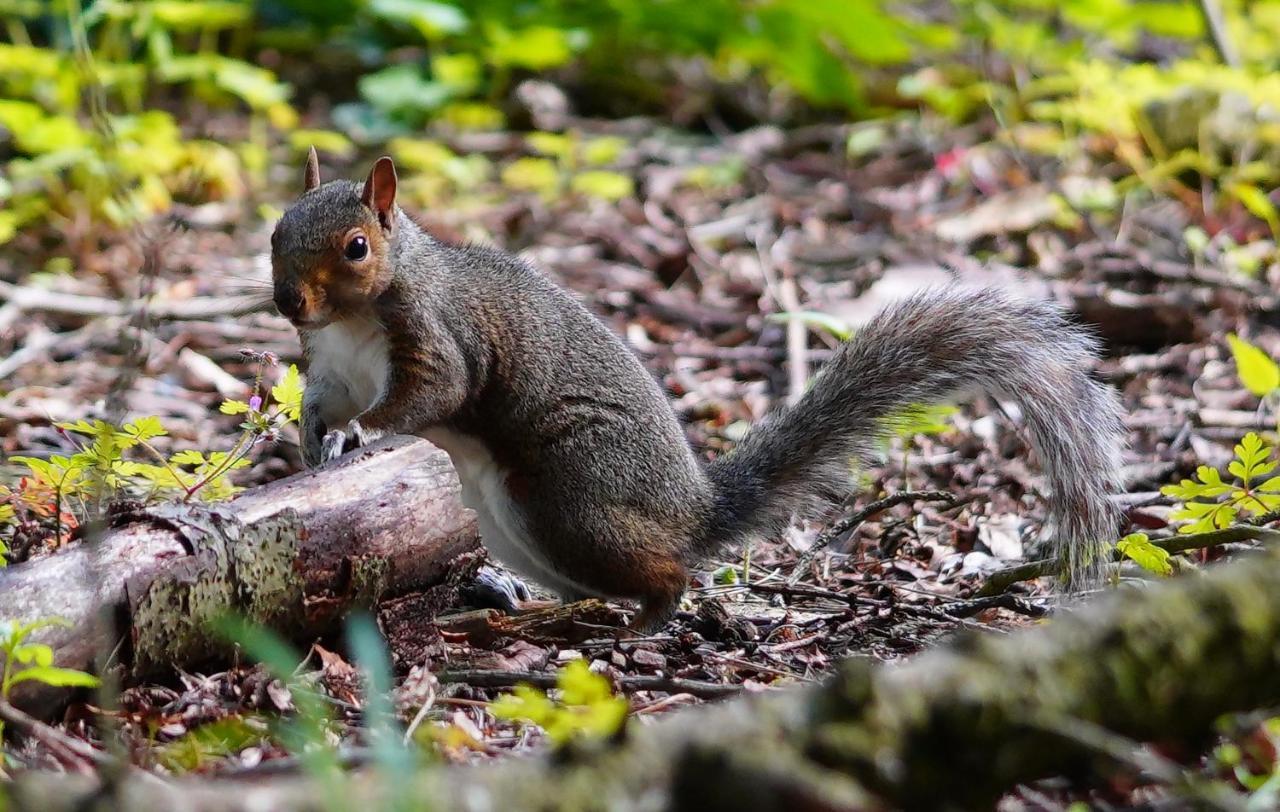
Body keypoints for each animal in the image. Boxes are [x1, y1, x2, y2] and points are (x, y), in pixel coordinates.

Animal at [267, 150, 1121, 632]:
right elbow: (322, 407)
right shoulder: (330, 366)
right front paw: (318, 446)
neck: (352, 320)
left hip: (569, 495)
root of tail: (694, 506)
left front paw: (369, 435)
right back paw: (532, 606)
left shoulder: (439, 340)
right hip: (521, 524)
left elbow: (427, 397)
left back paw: (638, 624)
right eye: (275, 232)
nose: (288, 303)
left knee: (668, 574)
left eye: (356, 247)